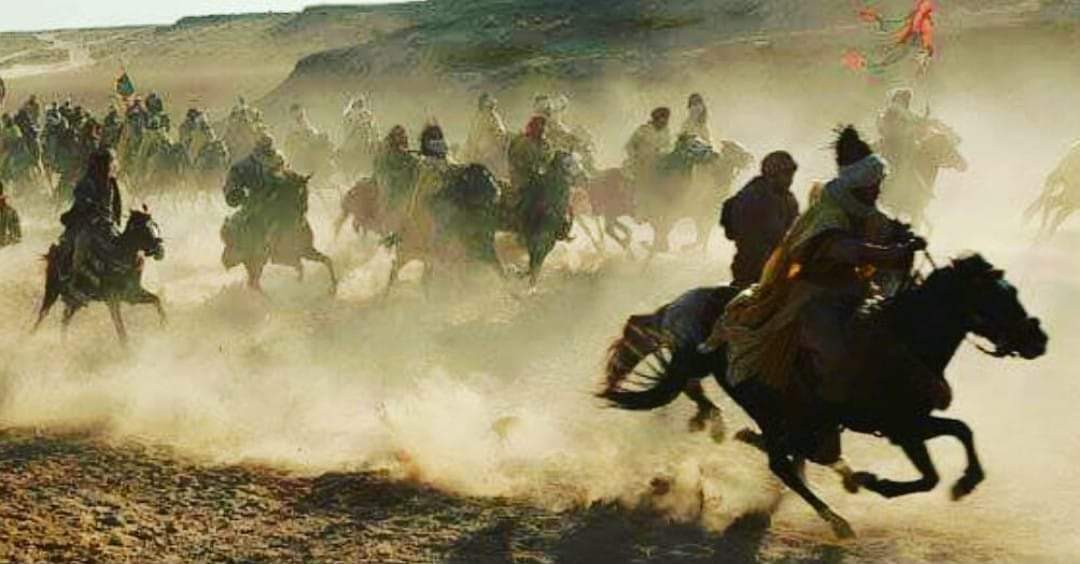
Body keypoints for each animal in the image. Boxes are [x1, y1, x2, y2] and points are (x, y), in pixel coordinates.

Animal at [32, 207, 167, 345]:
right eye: (144, 229)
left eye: (156, 225)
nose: (160, 251)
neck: (119, 257)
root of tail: (53, 253)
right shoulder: (112, 299)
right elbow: (120, 329)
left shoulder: (132, 295)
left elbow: (156, 300)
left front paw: (165, 326)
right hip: (52, 291)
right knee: (43, 314)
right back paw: (31, 336)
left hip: (74, 302)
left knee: (65, 319)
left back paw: (63, 344)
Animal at [600, 254, 1047, 538]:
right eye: (1000, 298)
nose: (1038, 340)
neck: (907, 340)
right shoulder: (902, 428)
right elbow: (929, 475)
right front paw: (878, 482)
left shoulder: (912, 422)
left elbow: (962, 430)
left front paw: (967, 482)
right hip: (764, 402)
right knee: (781, 461)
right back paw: (835, 518)